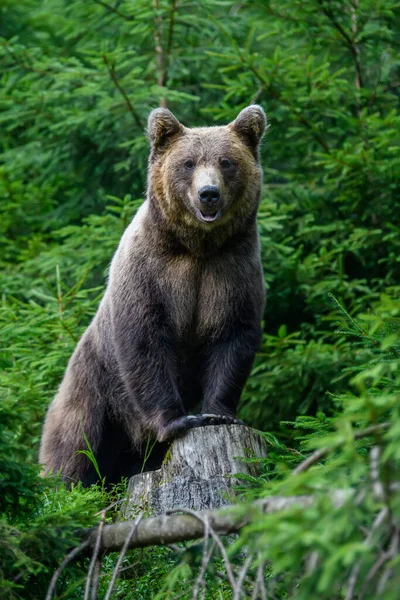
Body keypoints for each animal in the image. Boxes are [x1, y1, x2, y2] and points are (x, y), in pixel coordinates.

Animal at [39, 105, 268, 486]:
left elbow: (231, 337)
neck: (196, 247)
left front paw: (219, 414)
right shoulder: (150, 273)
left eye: (226, 162)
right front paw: (178, 420)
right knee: (73, 451)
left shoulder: (232, 271)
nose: (209, 193)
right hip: (93, 395)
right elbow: (145, 342)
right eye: (188, 163)